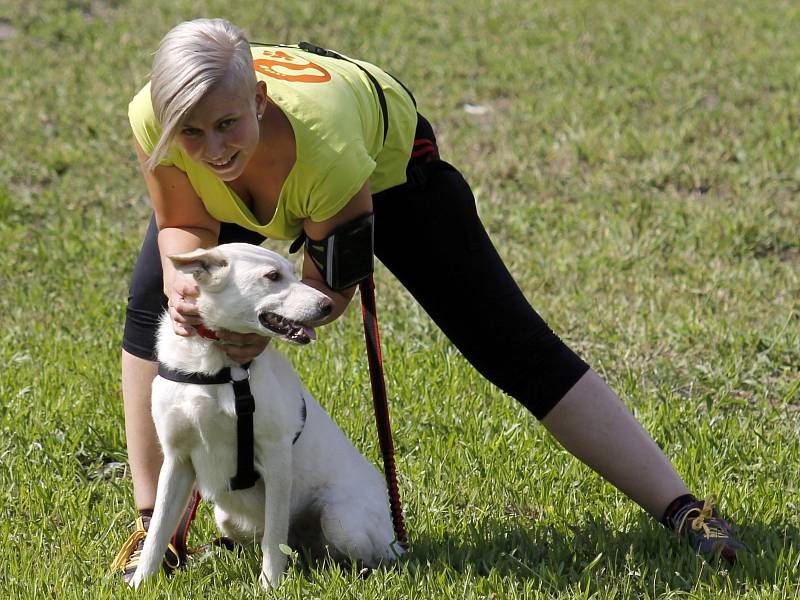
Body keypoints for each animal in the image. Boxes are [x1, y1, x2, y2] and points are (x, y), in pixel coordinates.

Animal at [130, 241, 400, 588]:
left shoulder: (276, 460)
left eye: (294, 273)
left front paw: (269, 584)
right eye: (272, 276)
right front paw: (141, 582)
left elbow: (274, 538)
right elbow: (158, 531)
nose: (327, 305)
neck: (218, 367)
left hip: (342, 522)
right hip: (228, 518)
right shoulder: (177, 461)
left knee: (372, 558)